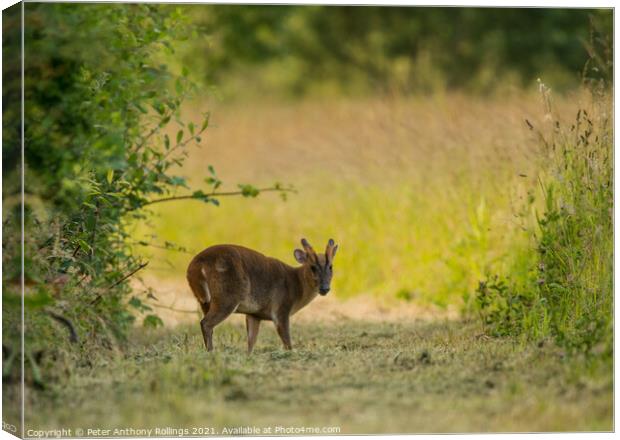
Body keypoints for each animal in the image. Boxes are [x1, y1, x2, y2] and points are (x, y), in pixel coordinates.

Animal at [186, 239, 340, 352]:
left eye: (331, 267)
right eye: (312, 267)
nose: (325, 288)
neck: (296, 285)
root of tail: (195, 265)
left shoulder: (254, 314)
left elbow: (251, 342)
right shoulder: (281, 308)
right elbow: (287, 342)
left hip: (204, 300)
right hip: (227, 297)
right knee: (205, 323)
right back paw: (211, 352)